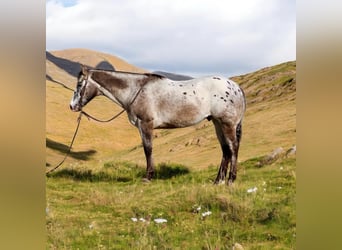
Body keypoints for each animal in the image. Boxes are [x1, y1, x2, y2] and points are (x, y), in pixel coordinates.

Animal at [69, 65, 246, 185]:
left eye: (79, 85)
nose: (72, 106)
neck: (136, 90)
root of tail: (236, 87)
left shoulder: (146, 124)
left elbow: (148, 149)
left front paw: (148, 176)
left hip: (227, 124)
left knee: (233, 147)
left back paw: (231, 180)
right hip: (217, 123)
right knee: (225, 150)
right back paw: (218, 181)